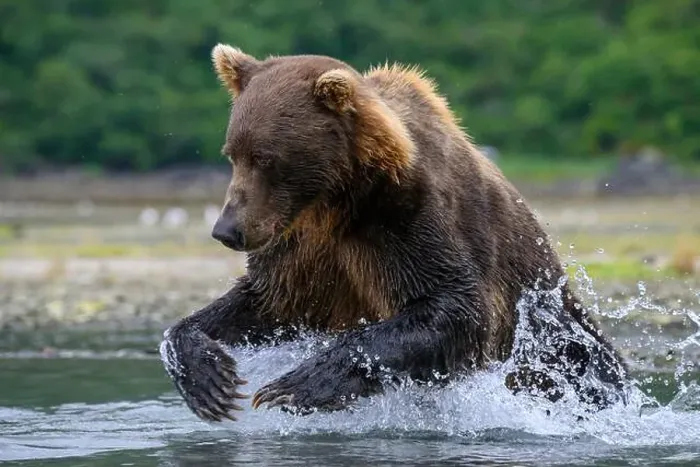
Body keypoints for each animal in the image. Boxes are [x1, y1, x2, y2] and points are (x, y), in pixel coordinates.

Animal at [158, 43, 628, 422]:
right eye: (233, 153)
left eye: (267, 158)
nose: (227, 230)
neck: (336, 201)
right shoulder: (303, 247)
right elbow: (266, 301)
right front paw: (209, 380)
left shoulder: (406, 219)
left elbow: (457, 306)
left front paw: (293, 386)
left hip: (557, 335)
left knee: (587, 367)